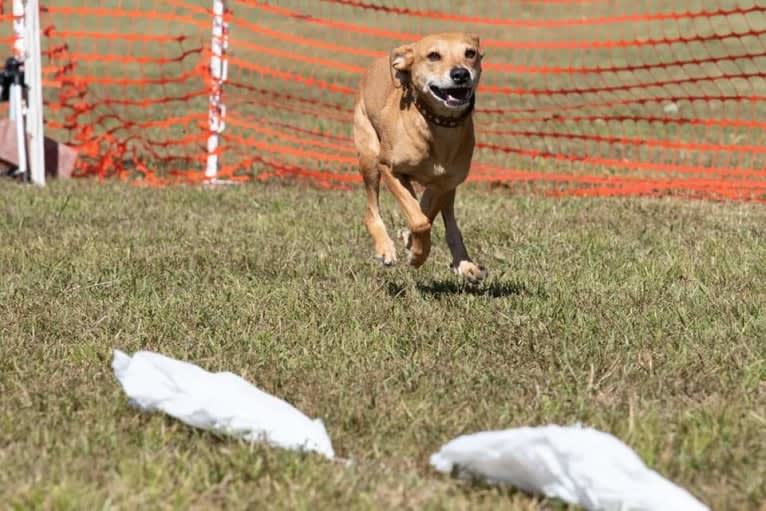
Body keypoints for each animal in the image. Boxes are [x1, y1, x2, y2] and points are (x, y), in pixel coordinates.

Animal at [352, 33, 486, 284]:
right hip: (369, 157)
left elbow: (425, 213)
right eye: (433, 55)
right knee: (371, 210)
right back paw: (386, 248)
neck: (438, 125)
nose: (460, 74)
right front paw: (416, 255)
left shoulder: (444, 182)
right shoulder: (389, 169)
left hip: (448, 186)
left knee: (447, 220)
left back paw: (464, 263)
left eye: (470, 53)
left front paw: (413, 245)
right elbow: (420, 220)